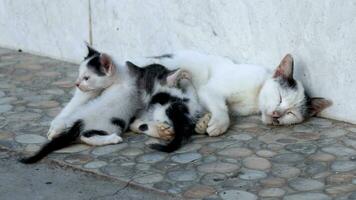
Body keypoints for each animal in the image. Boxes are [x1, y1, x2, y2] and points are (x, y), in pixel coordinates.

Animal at [147, 50, 330, 137]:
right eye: (280, 97)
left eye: (291, 113)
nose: (277, 115)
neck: (254, 98)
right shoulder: (209, 89)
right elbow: (221, 107)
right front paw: (219, 123)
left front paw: (203, 123)